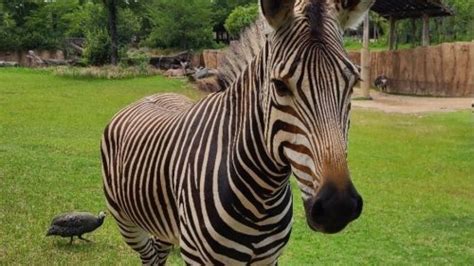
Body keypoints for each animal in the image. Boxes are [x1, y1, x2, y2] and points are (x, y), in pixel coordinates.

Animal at [101, 0, 374, 264]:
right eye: (279, 85)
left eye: (353, 84)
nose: (338, 207)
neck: (264, 195)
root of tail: (149, 96)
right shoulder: (197, 256)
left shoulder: (268, 259)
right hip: (125, 221)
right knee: (149, 255)